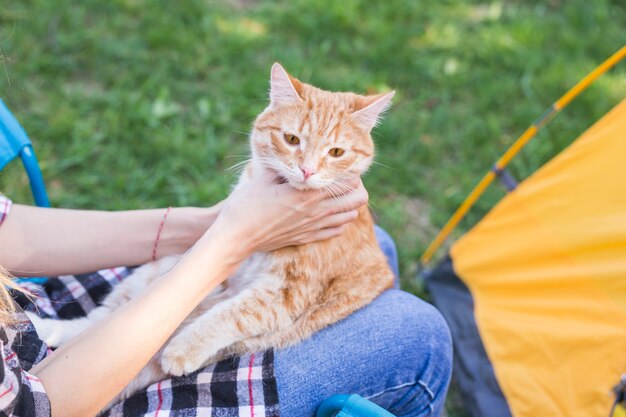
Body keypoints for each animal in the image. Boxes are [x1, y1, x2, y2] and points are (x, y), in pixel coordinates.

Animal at [28, 64, 394, 400]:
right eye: (292, 139)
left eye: (336, 152)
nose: (307, 170)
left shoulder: (288, 293)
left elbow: (233, 313)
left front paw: (182, 348)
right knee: (108, 320)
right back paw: (47, 328)